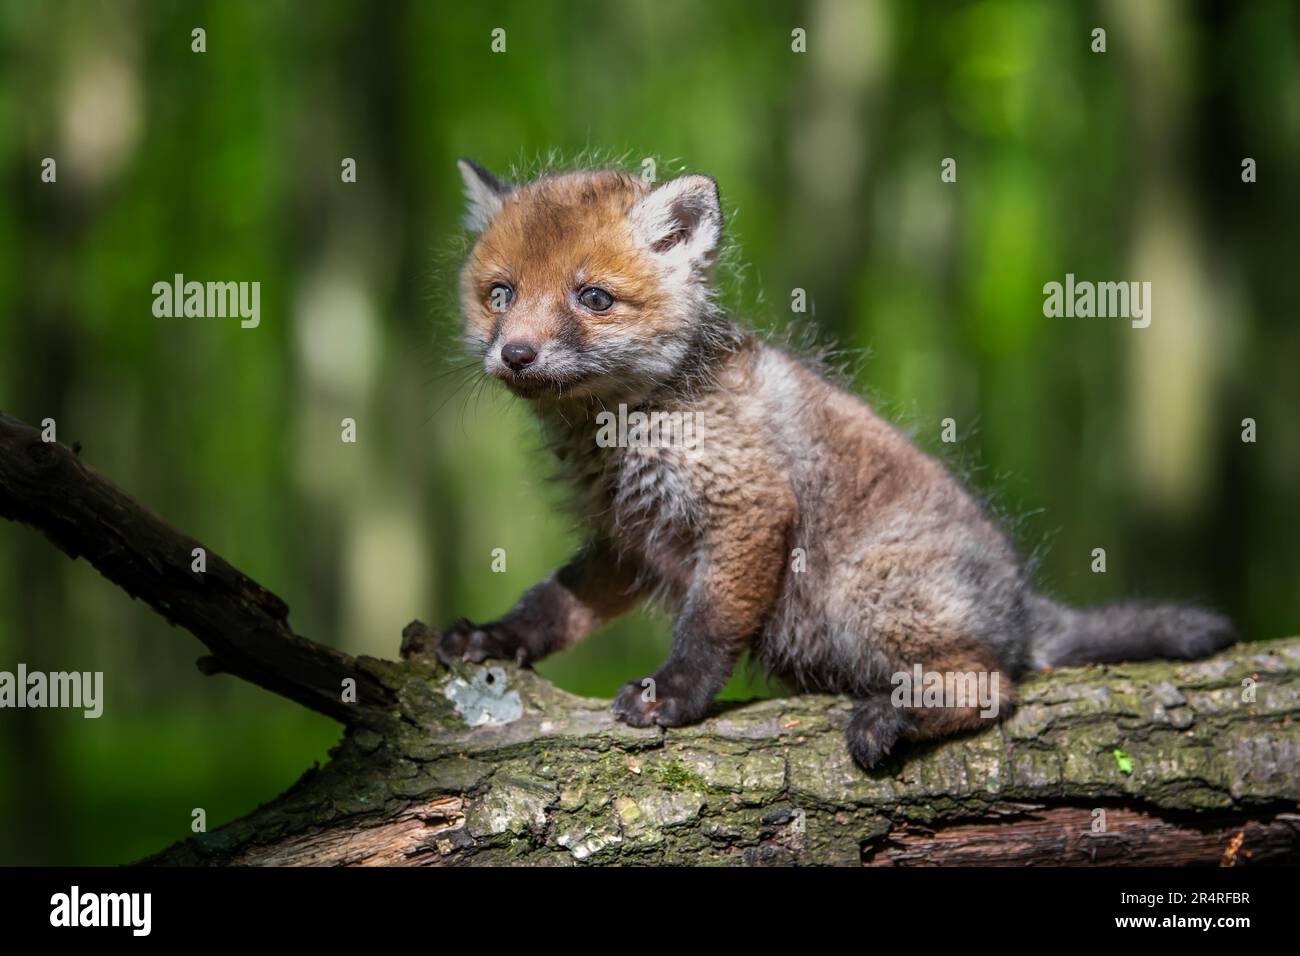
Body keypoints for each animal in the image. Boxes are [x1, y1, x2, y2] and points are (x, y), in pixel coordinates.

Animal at [437, 159, 1237, 769]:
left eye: (593, 298)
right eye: (501, 294)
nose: (515, 354)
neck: (625, 429)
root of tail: (1020, 604)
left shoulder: (748, 509)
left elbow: (708, 627)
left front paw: (674, 696)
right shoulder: (625, 542)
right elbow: (551, 604)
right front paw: (493, 639)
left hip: (864, 598)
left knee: (995, 688)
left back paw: (894, 718)